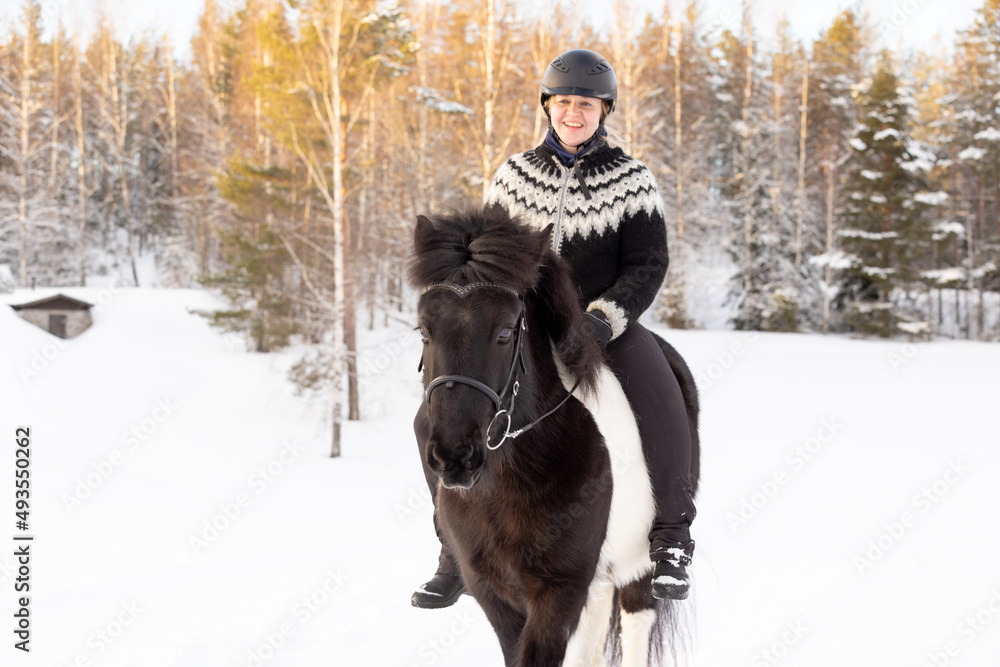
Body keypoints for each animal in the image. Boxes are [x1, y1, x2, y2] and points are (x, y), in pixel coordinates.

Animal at [409, 206, 700, 667]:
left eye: (505, 332)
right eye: (423, 331)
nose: (456, 457)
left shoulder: (560, 590)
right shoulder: (494, 594)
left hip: (637, 565)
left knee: (637, 619)